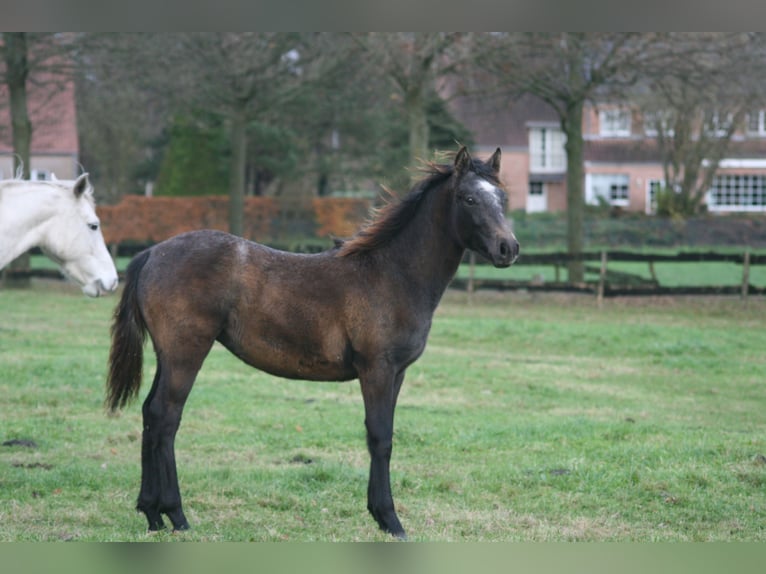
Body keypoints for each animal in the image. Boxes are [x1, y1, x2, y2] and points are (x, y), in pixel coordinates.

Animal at [108, 147, 520, 540]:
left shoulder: (397, 374)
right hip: (185, 353)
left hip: (168, 356)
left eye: (502, 196)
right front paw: (389, 520)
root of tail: (151, 253)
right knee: (166, 418)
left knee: (150, 413)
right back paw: (176, 515)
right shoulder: (377, 370)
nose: (508, 248)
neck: (392, 274)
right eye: (468, 198)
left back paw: (151, 513)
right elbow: (380, 437)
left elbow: (384, 434)